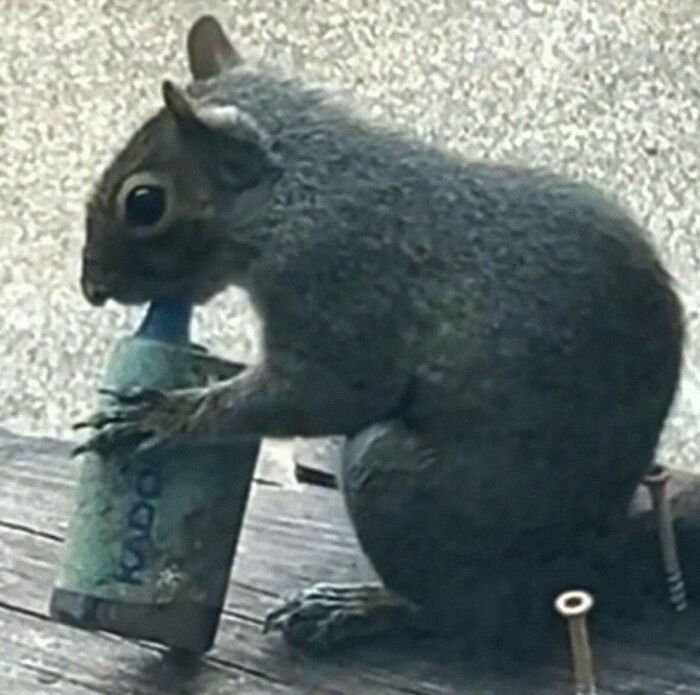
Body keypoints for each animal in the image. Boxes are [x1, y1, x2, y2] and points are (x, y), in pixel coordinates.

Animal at [77, 16, 684, 662]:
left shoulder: (340, 289)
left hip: (395, 480)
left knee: (466, 616)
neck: (298, 191)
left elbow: (328, 394)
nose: (92, 287)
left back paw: (359, 608)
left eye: (145, 202)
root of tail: (588, 554)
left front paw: (162, 416)